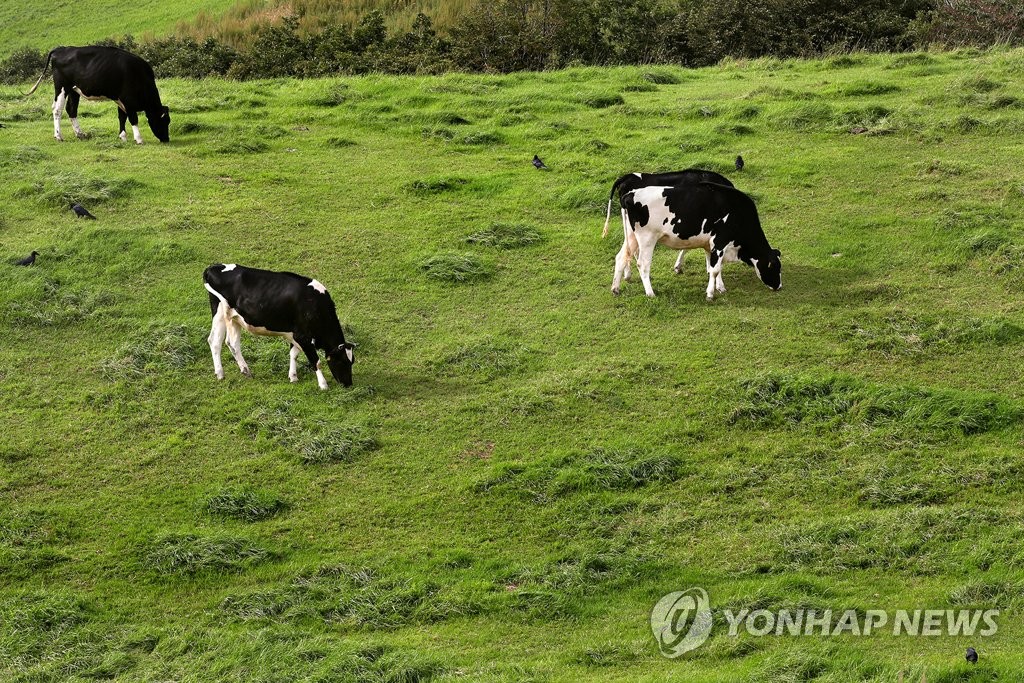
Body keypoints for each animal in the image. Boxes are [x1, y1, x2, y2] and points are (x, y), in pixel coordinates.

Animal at [26, 45, 172, 144]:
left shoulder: (120, 99)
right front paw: (139, 138)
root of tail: (61, 48)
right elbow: (133, 118)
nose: (166, 139)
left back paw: (80, 134)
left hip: (74, 90)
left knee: (71, 110)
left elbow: (122, 117)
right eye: (164, 121)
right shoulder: (128, 100)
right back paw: (58, 136)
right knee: (57, 109)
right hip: (62, 86)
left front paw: (123, 136)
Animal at [203, 264, 356, 389]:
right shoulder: (302, 336)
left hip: (231, 317)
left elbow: (293, 354)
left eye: (352, 361)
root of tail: (214, 267)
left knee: (223, 342)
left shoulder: (295, 334)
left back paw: (244, 371)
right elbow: (315, 361)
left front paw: (293, 377)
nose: (348, 384)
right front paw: (323, 385)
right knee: (222, 342)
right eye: (342, 361)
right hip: (223, 311)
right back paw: (221, 374)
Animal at [610, 181, 778, 299]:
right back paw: (650, 293)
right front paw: (710, 294)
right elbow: (715, 269)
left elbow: (713, 267)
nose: (779, 286)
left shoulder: (711, 245)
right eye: (776, 267)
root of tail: (630, 194)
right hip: (647, 238)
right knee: (643, 264)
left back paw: (615, 288)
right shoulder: (720, 242)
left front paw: (720, 287)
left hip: (631, 236)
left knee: (620, 257)